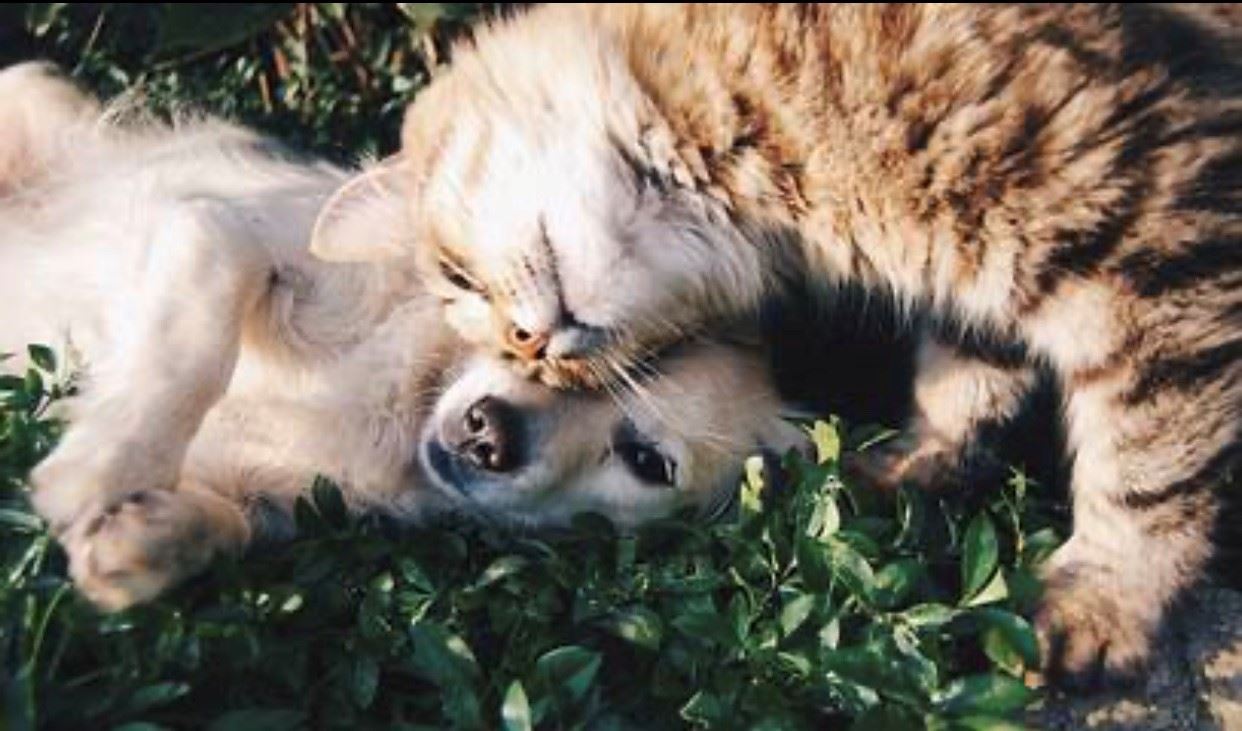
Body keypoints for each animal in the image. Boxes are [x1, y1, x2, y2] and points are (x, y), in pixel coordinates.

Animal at [2, 62, 804, 610]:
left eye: (646, 461)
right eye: (527, 341)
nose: (489, 434)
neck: (404, 402)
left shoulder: (270, 498)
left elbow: (227, 526)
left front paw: (143, 539)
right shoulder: (218, 228)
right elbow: (195, 342)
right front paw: (104, 466)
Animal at [312, 2, 1242, 680]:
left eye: (458, 279)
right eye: (509, 347)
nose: (531, 344)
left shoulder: (1149, 228)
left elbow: (1147, 465)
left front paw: (1104, 601)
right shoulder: (988, 273)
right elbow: (965, 381)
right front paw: (912, 463)